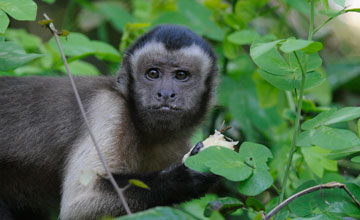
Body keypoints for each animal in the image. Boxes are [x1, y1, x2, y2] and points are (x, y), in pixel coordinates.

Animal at [0, 24, 218, 219]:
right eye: (153, 73)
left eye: (181, 75)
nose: (165, 93)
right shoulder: (109, 108)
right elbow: (80, 204)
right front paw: (184, 177)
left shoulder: (177, 146)